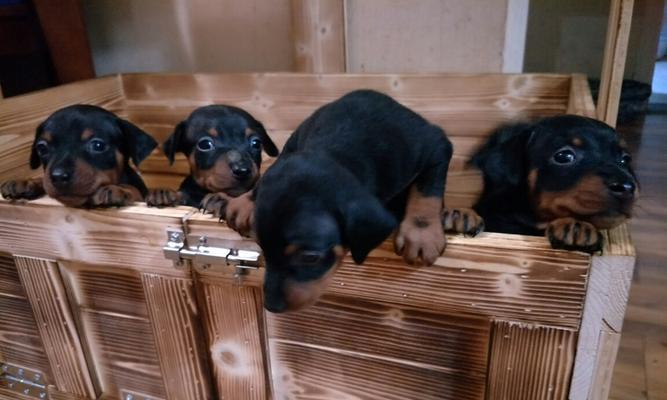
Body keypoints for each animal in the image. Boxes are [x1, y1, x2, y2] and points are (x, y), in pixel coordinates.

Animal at [0, 104, 159, 208]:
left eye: (98, 145)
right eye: (42, 148)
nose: (58, 177)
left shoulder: (141, 194)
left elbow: (134, 190)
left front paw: (119, 189)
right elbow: (43, 181)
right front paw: (26, 182)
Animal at [147, 104, 280, 217]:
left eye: (256, 143)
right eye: (205, 144)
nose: (243, 170)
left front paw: (221, 199)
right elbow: (185, 195)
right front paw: (165, 194)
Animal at [253, 90, 456, 312]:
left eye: (310, 258)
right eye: (261, 247)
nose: (271, 306)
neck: (339, 151)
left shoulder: (434, 146)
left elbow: (427, 189)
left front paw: (421, 233)